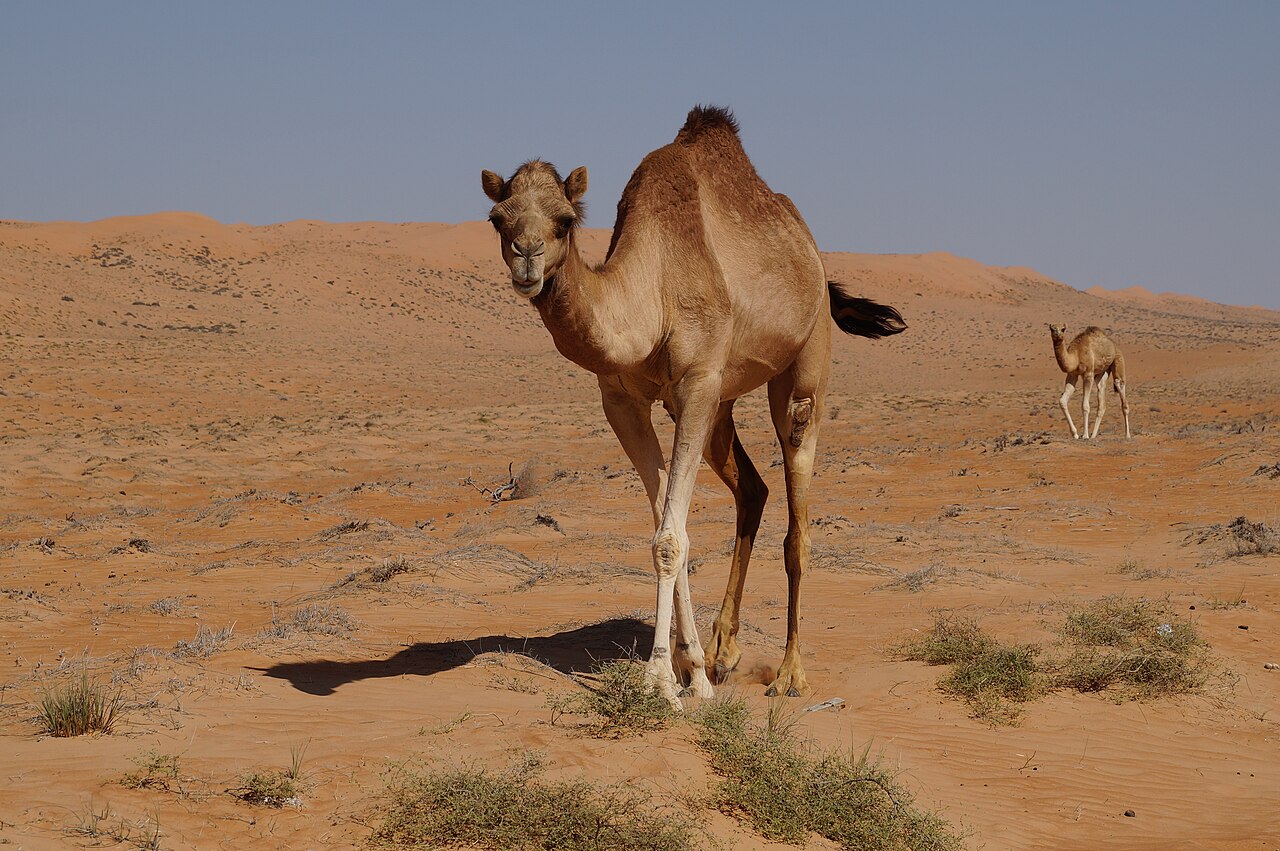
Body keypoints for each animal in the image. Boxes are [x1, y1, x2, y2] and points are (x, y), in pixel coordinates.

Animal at [480, 105, 905, 707]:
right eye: (498, 219)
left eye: (564, 220)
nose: (526, 262)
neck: (652, 294)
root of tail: (814, 257)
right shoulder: (624, 403)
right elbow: (668, 522)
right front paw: (694, 668)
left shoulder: (698, 383)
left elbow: (669, 538)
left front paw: (661, 679)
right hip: (721, 407)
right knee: (752, 489)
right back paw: (726, 650)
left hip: (804, 364)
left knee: (797, 514)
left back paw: (790, 673)